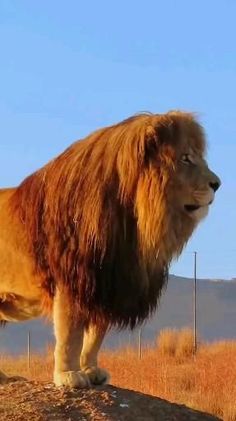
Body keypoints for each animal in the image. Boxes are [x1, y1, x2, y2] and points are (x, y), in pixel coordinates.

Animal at [0, 111, 221, 388]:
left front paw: (91, 370)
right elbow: (70, 335)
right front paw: (69, 376)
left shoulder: (109, 283)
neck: (133, 221)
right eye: (186, 158)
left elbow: (96, 336)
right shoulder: (74, 280)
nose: (218, 184)